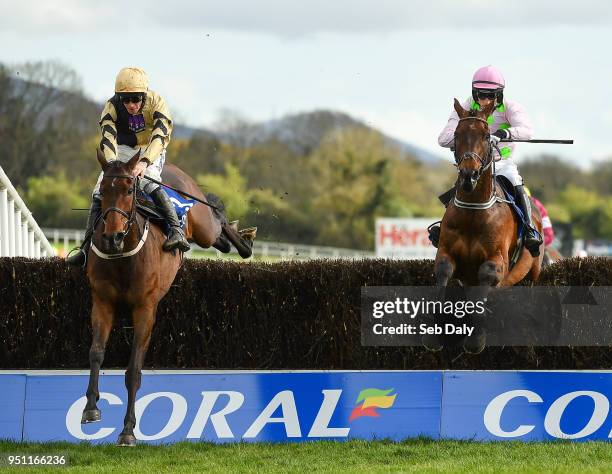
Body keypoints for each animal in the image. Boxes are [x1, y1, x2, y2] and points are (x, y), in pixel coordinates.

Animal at [80, 150, 255, 446]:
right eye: (102, 191)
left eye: (129, 190)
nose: (112, 237)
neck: (122, 257)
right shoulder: (102, 302)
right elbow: (95, 353)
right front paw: (91, 408)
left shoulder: (145, 308)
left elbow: (133, 370)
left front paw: (128, 430)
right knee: (221, 240)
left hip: (203, 226)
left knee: (218, 220)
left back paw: (245, 241)